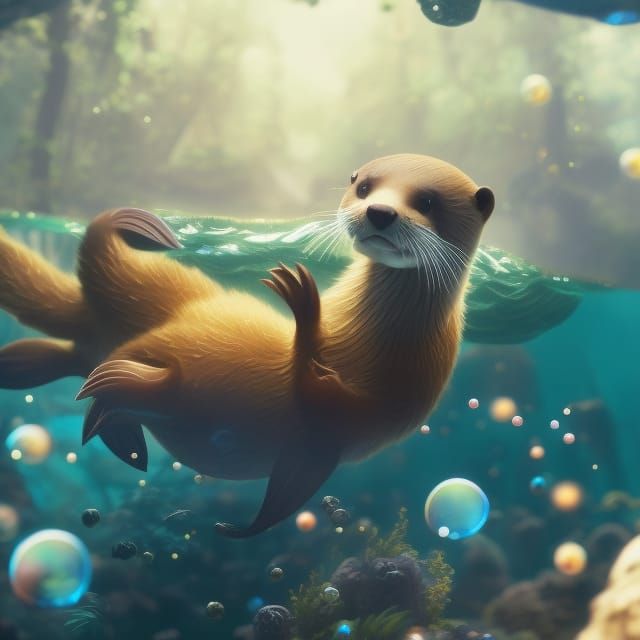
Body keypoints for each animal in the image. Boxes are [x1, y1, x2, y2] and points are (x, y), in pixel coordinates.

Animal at [0, 154, 494, 537]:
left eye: (426, 201)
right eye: (365, 186)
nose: (379, 211)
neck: (363, 338)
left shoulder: (341, 431)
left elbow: (302, 444)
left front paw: (303, 303)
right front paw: (302, 301)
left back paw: (111, 410)